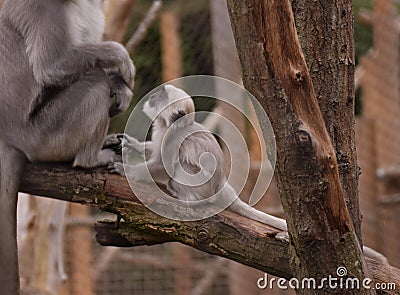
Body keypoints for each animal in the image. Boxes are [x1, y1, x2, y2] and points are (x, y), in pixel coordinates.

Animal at [0, 0, 136, 294]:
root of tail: (10, 136)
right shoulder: (41, 5)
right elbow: (51, 67)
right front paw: (119, 57)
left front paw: (120, 85)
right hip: (45, 135)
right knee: (94, 79)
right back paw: (90, 159)